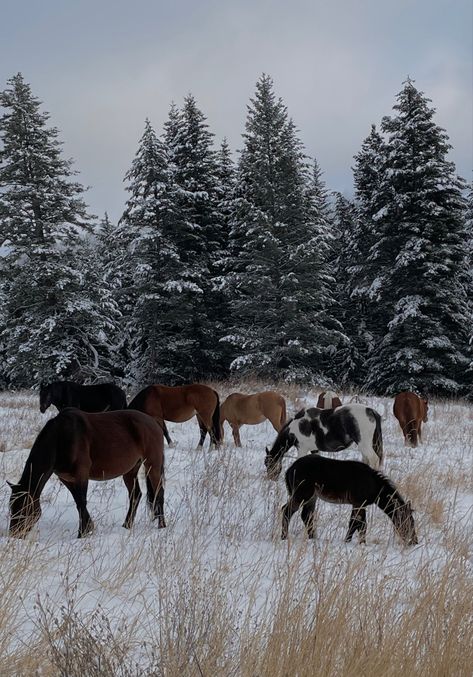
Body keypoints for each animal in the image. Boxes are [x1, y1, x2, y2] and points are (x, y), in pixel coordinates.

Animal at [6, 406, 166, 540]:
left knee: (159, 492)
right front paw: (89, 527)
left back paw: (162, 525)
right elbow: (78, 500)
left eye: (24, 507)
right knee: (135, 495)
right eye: (11, 506)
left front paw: (82, 533)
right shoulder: (67, 478)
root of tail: (153, 421)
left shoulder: (81, 475)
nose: (14, 535)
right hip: (130, 470)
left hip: (152, 465)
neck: (61, 438)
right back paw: (127, 525)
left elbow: (81, 502)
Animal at [280, 452, 416, 548]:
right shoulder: (358, 503)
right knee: (287, 510)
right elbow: (357, 524)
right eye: (408, 522)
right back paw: (284, 537)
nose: (414, 541)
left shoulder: (360, 504)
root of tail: (289, 470)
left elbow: (359, 524)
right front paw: (353, 542)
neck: (374, 485)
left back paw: (313, 538)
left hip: (312, 497)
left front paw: (358, 542)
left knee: (306, 516)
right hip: (302, 495)